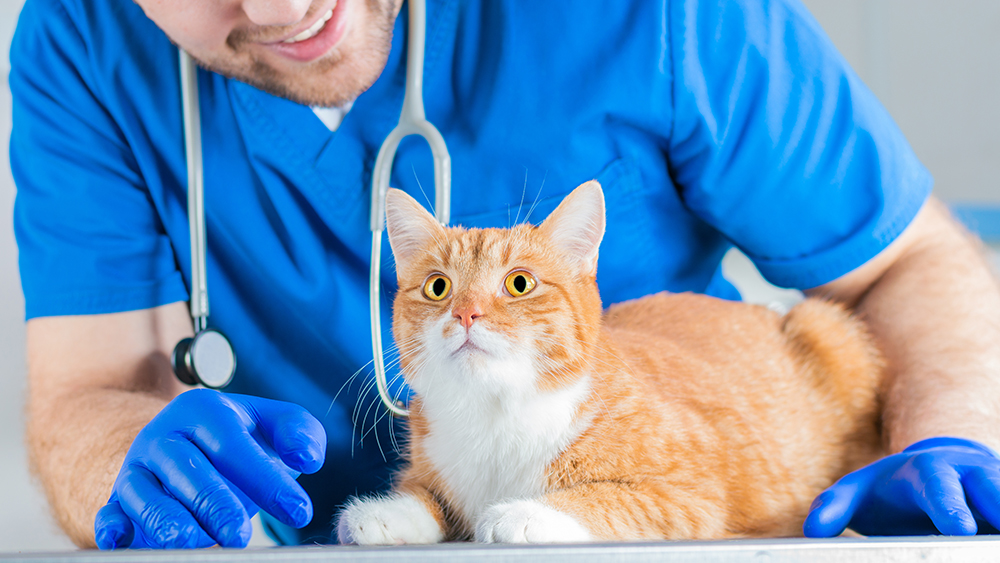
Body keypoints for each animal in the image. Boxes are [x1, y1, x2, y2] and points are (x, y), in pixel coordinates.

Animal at [336, 183, 884, 544]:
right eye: (438, 287)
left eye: (519, 283)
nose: (466, 313)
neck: (496, 414)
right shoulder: (431, 467)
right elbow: (424, 495)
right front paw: (385, 515)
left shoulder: (692, 495)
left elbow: (609, 499)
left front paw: (525, 515)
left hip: (826, 324)